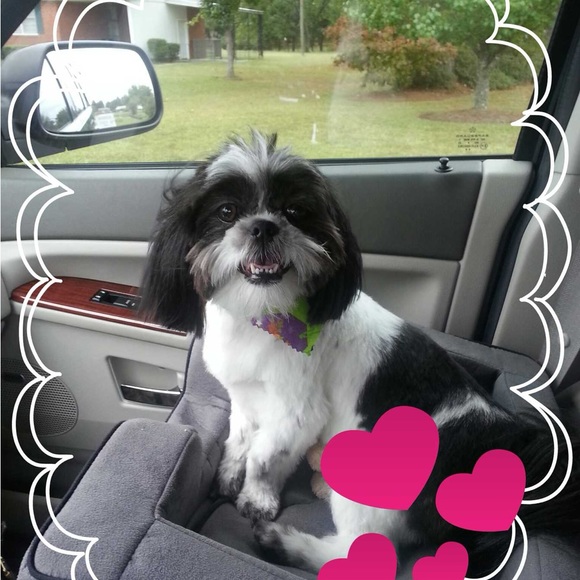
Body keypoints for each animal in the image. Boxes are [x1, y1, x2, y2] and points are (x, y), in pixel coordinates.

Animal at [141, 131, 579, 576]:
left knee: (360, 553)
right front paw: (231, 472)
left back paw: (283, 543)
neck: (262, 315)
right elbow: (239, 437)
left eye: (295, 211)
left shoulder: (297, 410)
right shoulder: (245, 395)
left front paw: (256, 499)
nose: (263, 227)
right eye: (227, 212)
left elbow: (264, 456)